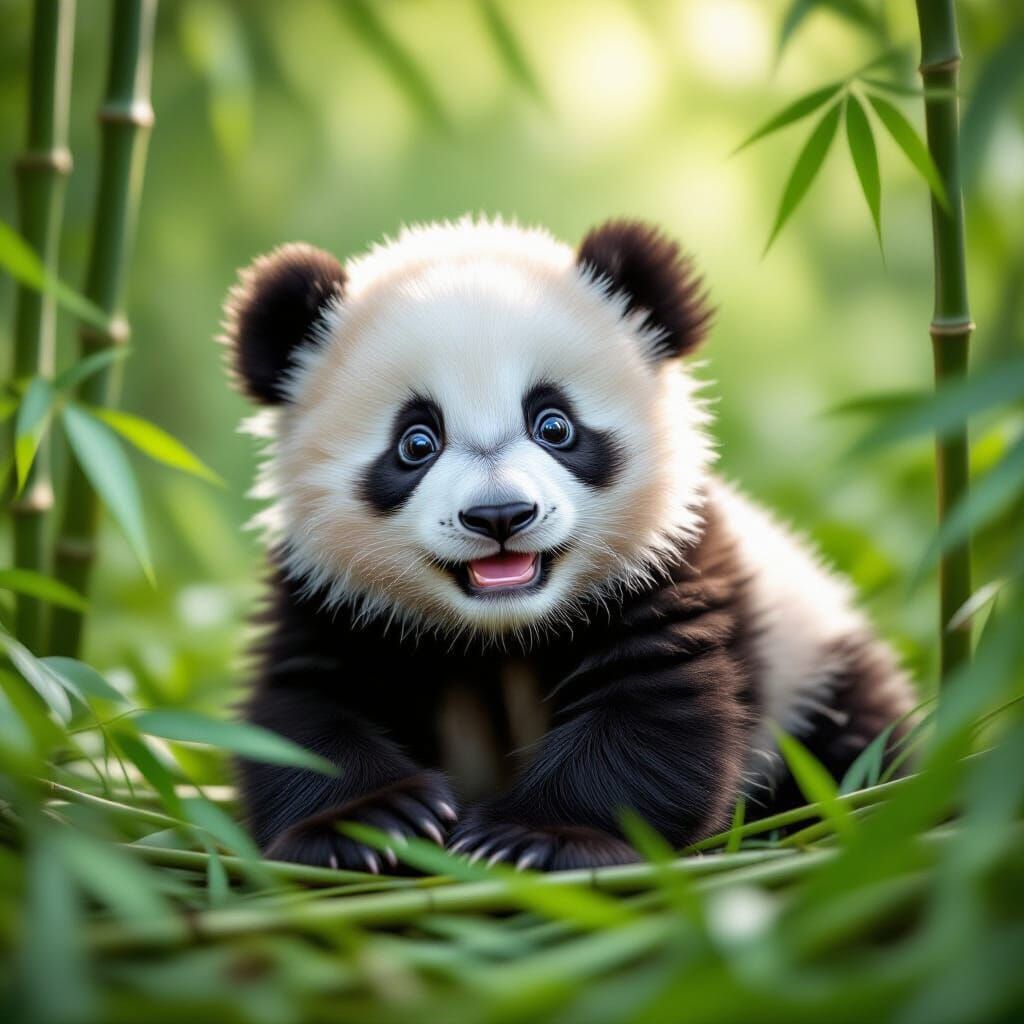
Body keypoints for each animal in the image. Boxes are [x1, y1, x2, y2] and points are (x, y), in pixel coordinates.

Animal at [222, 215, 914, 872]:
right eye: (416, 442)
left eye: (554, 425)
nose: (500, 514)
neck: (501, 632)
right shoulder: (334, 597)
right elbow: (303, 712)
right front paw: (374, 824)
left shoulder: (665, 567)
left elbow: (651, 713)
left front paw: (531, 838)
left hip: (813, 667)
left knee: (855, 746)